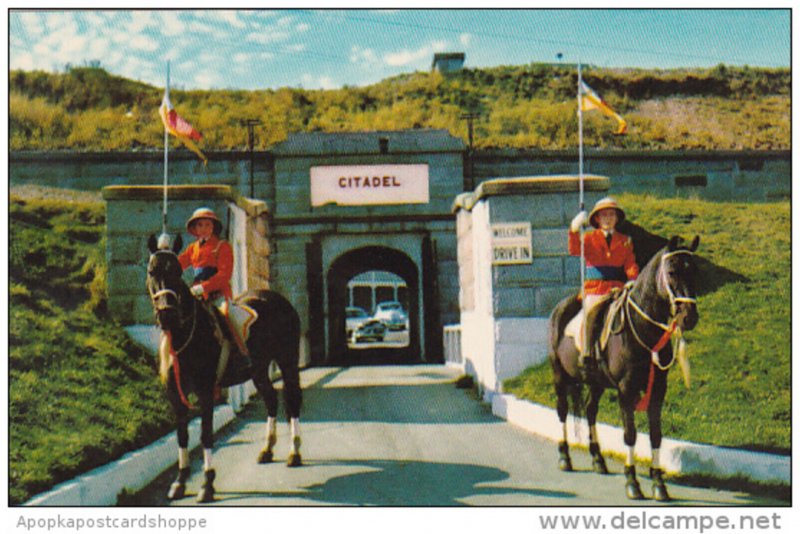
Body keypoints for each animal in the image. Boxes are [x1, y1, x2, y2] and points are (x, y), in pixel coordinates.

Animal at [147, 233, 304, 502]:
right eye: (151, 271)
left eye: (177, 272)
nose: (167, 314)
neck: (185, 337)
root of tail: (277, 298)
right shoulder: (175, 396)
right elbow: (182, 435)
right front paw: (180, 481)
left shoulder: (206, 392)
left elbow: (206, 434)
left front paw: (207, 484)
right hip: (259, 370)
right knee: (271, 400)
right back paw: (267, 449)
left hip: (288, 362)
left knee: (291, 401)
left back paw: (294, 453)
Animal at [552, 234, 700, 502]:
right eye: (672, 271)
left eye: (694, 270)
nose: (689, 317)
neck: (643, 328)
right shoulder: (626, 389)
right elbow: (629, 433)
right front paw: (632, 482)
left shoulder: (658, 389)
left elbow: (655, 435)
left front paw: (659, 483)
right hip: (560, 377)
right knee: (562, 410)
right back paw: (564, 456)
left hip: (596, 383)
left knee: (590, 410)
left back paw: (598, 459)